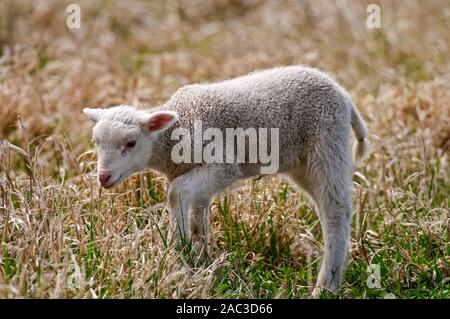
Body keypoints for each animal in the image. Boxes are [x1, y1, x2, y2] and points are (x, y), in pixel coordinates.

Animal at [83, 65, 370, 298]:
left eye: (130, 143)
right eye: (96, 142)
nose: (103, 177)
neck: (175, 134)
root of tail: (344, 96)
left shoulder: (223, 164)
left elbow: (176, 193)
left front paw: (180, 247)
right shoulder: (198, 177)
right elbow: (199, 215)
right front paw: (201, 259)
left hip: (327, 145)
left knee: (336, 210)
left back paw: (326, 285)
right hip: (301, 164)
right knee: (325, 208)